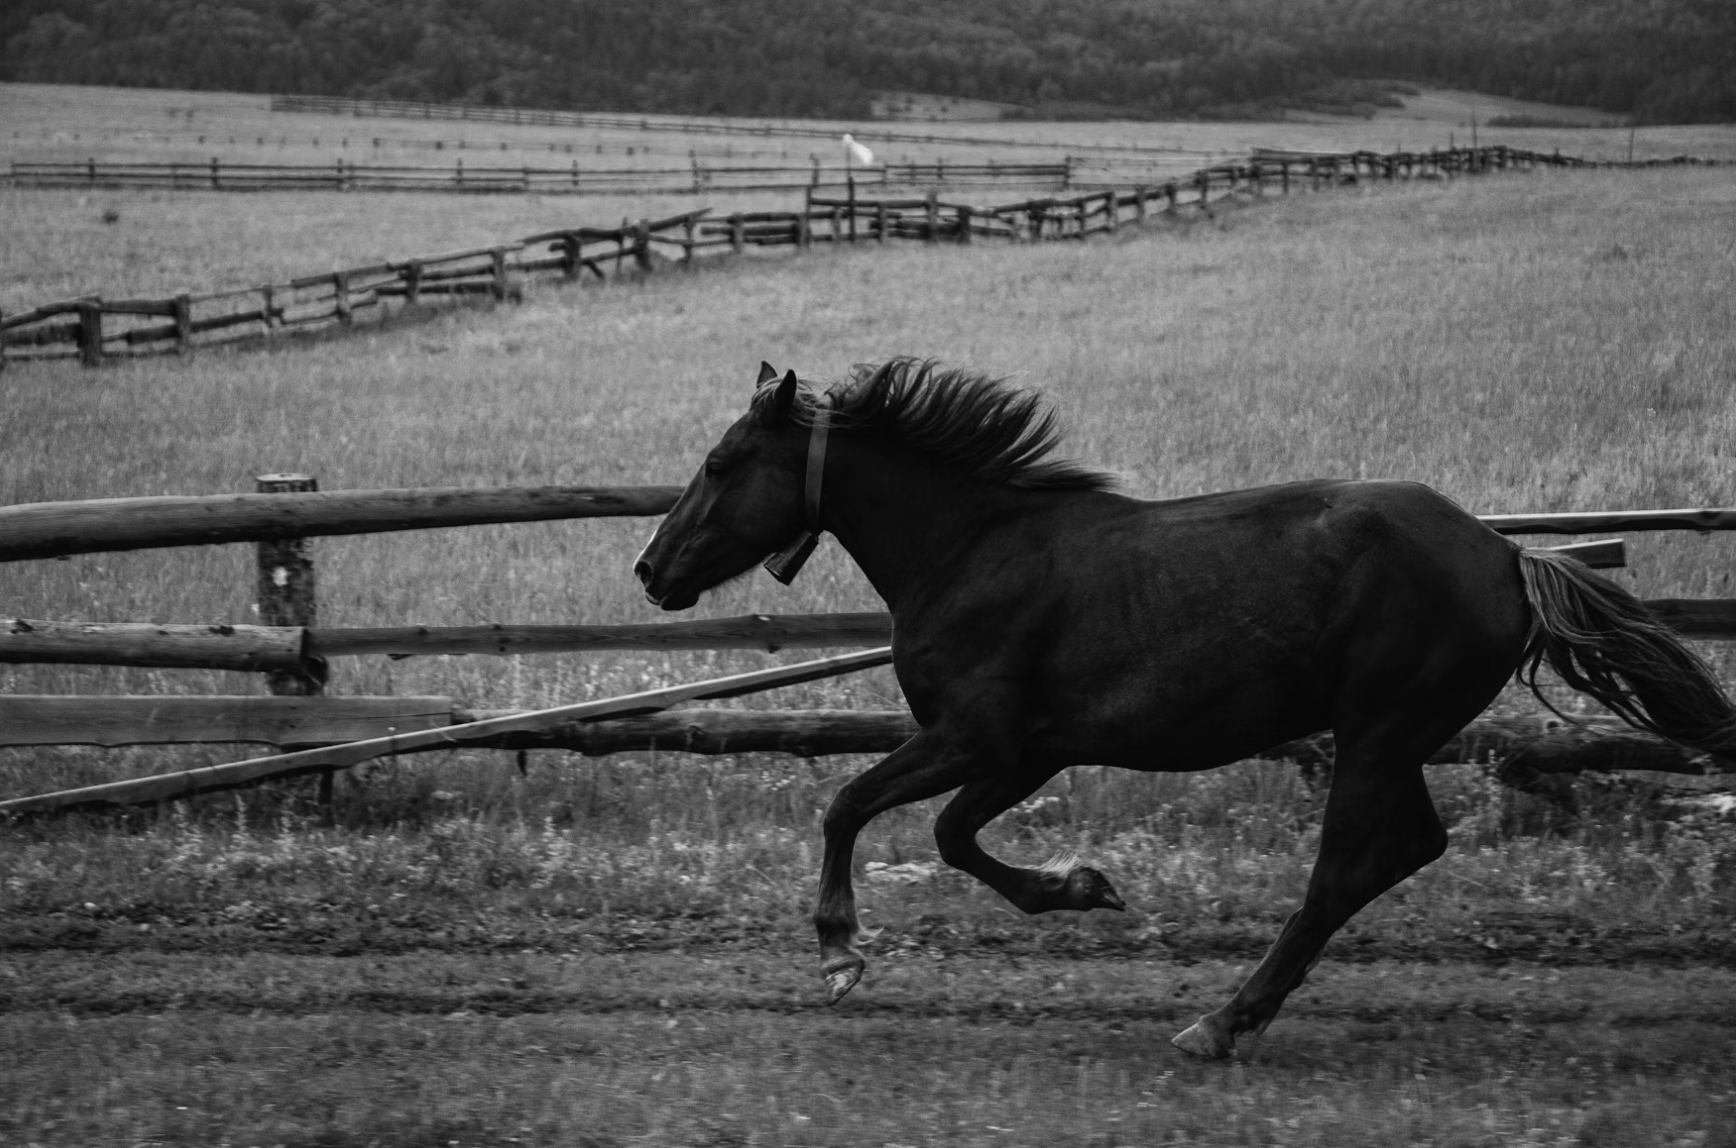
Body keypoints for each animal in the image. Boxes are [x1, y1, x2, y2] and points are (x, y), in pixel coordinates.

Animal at [634, 358, 1736, 1059]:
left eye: (721, 462)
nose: (650, 570)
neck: (971, 548)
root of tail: (1508, 556)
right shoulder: (1024, 751)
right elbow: (950, 836)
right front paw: (1083, 887)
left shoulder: (973, 735)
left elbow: (849, 804)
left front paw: (839, 952)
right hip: (1392, 739)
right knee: (1407, 849)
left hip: (1376, 735)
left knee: (1345, 870)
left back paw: (1220, 1024)